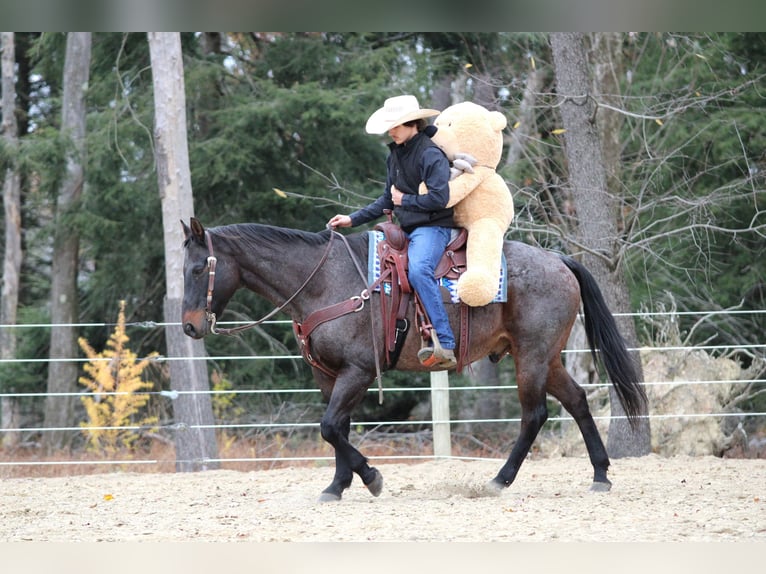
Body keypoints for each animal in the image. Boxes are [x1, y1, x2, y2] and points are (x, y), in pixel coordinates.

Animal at [181, 217, 647, 502]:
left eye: (197, 269)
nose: (188, 326)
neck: (323, 282)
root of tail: (559, 260)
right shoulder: (327, 375)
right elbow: (337, 428)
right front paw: (337, 486)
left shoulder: (358, 372)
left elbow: (330, 427)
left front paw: (371, 478)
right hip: (545, 358)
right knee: (578, 400)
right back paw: (600, 475)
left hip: (531, 357)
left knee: (534, 415)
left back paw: (499, 480)